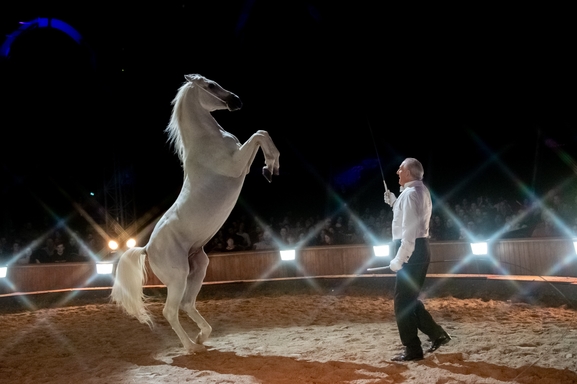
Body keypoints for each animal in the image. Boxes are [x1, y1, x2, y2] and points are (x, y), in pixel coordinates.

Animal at [111, 73, 280, 352]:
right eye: (210, 85)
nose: (237, 101)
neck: (207, 140)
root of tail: (146, 248)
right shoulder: (237, 164)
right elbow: (259, 134)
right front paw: (271, 167)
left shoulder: (242, 164)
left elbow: (262, 134)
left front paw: (269, 169)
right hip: (178, 277)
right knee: (170, 310)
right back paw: (190, 345)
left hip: (198, 267)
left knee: (187, 304)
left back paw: (202, 337)